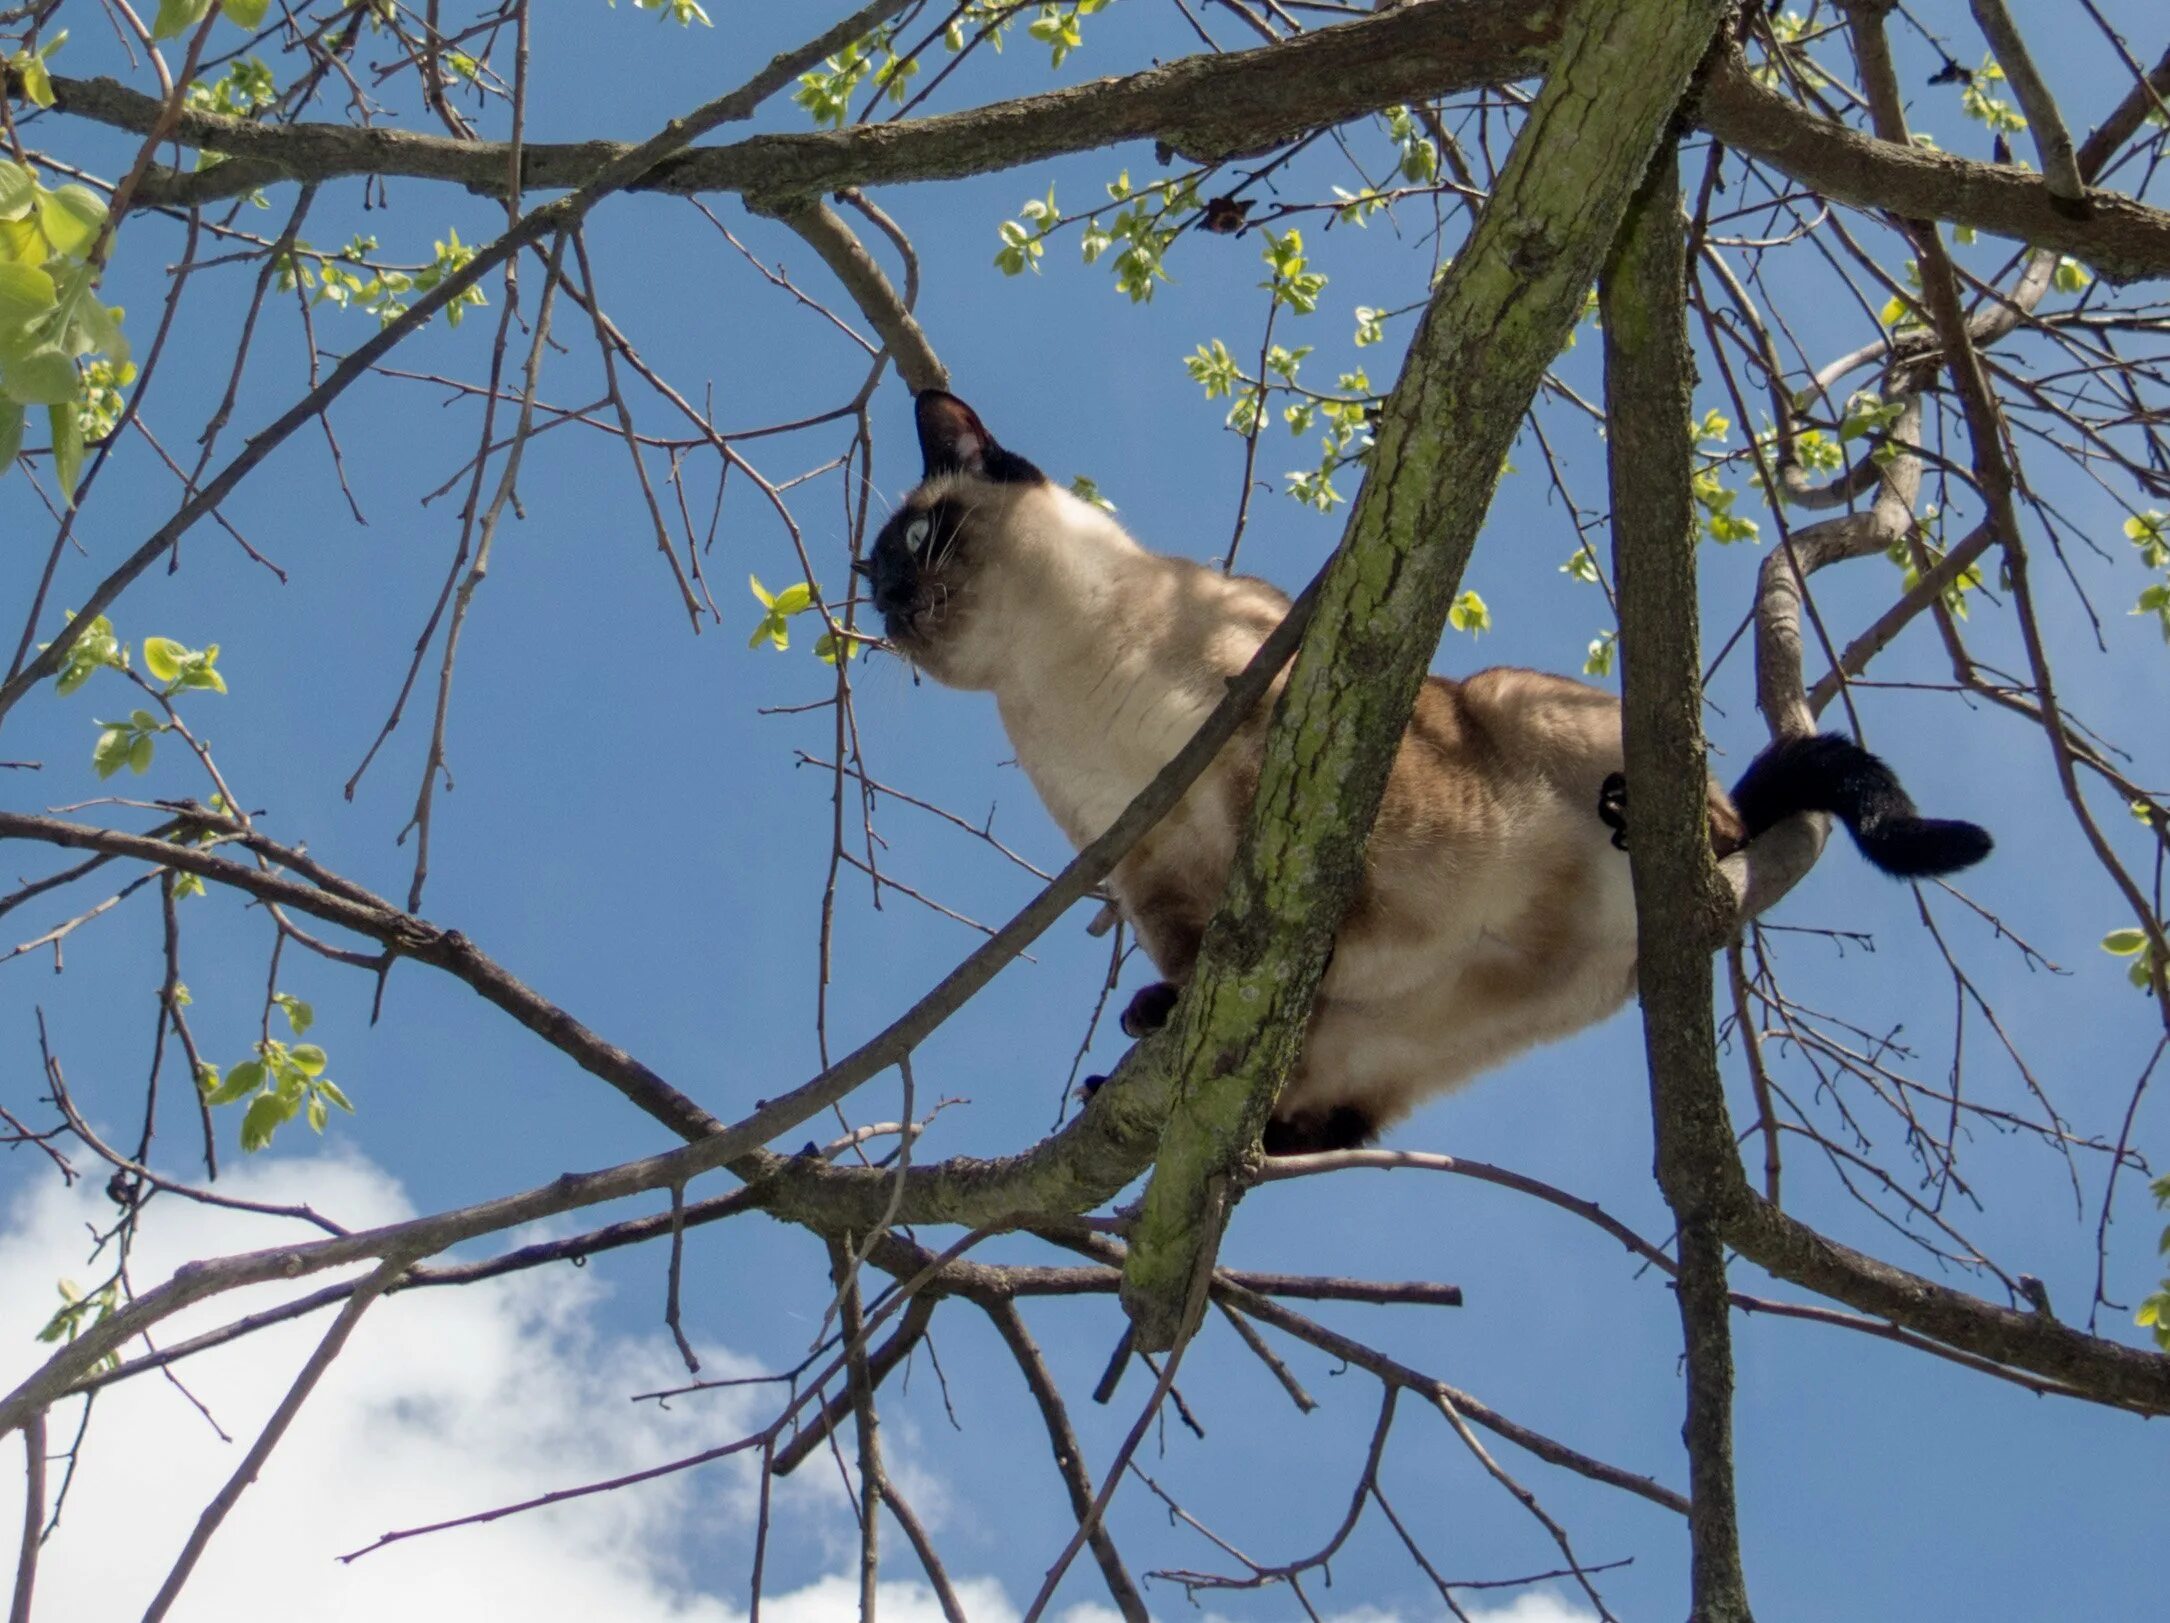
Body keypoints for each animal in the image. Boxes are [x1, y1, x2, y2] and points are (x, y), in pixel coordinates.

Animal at [854, 392, 1987, 1154]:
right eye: (875, 584)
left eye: (915, 536)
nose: (891, 611)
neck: (1063, 673)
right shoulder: (1144, 865)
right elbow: (1196, 952)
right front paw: (1164, 1012)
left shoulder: (1286, 730)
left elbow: (1304, 871)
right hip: (1398, 1043)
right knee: (1330, 1128)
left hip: (1516, 702)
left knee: (1728, 817)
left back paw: (1649, 819)